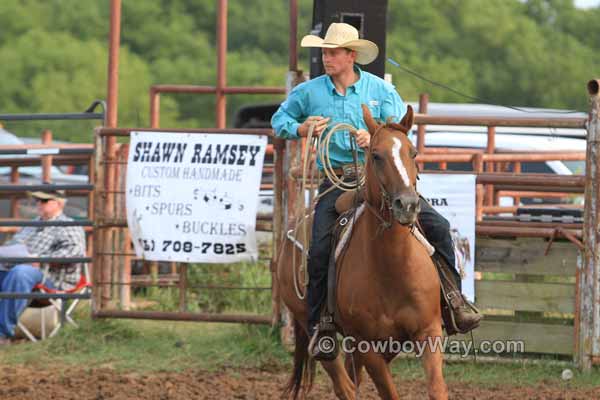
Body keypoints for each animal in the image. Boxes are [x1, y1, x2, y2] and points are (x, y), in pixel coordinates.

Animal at [276, 104, 446, 398]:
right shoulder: (368, 347)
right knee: (342, 382)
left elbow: (437, 389)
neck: (392, 268)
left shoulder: (428, 332)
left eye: (413, 152)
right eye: (376, 156)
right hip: (311, 323)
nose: (408, 205)